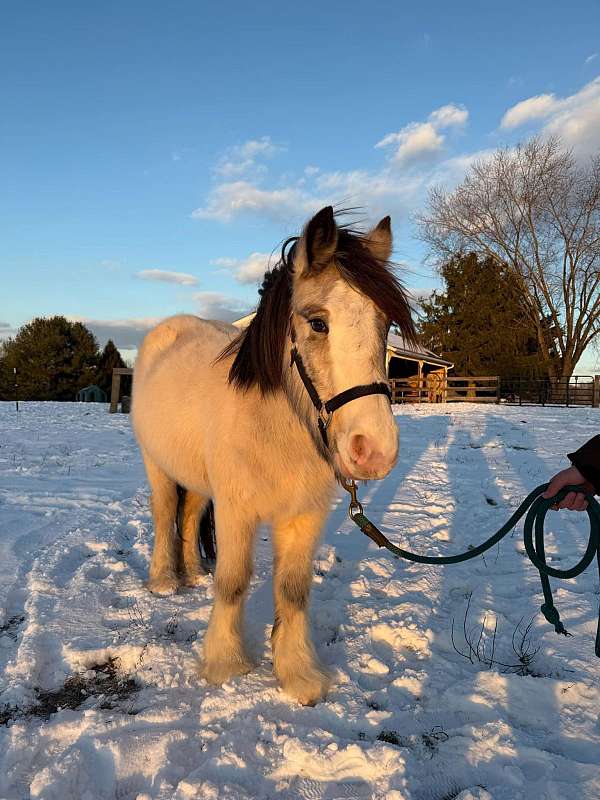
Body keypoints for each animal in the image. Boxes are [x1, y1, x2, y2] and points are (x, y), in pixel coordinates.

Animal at [131, 208, 414, 708]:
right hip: (156, 463)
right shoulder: (237, 510)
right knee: (166, 512)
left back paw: (193, 574)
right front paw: (225, 664)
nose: (374, 450)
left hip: (200, 478)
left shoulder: (305, 515)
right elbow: (234, 580)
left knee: (190, 515)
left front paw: (298, 674)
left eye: (384, 325)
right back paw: (165, 579)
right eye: (318, 323)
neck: (274, 429)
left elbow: (293, 590)